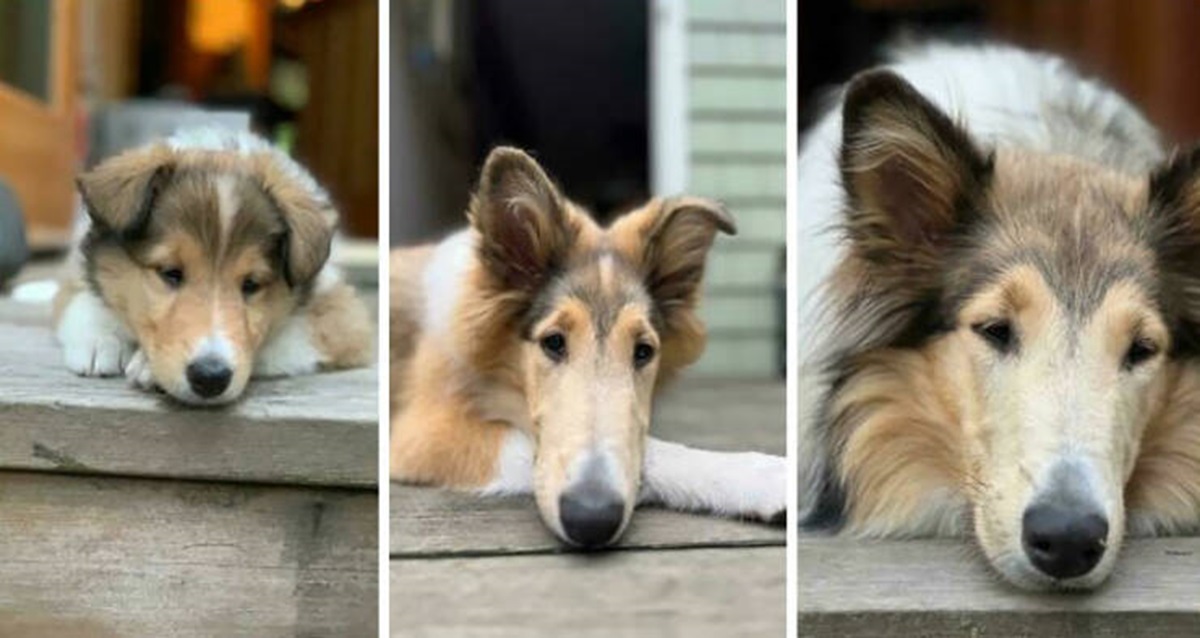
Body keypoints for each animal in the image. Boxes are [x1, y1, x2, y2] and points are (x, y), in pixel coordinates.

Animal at [54, 130, 369, 405]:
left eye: (251, 284)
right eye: (170, 273)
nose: (210, 378)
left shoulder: (342, 320)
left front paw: (146, 365)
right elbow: (81, 299)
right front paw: (99, 340)